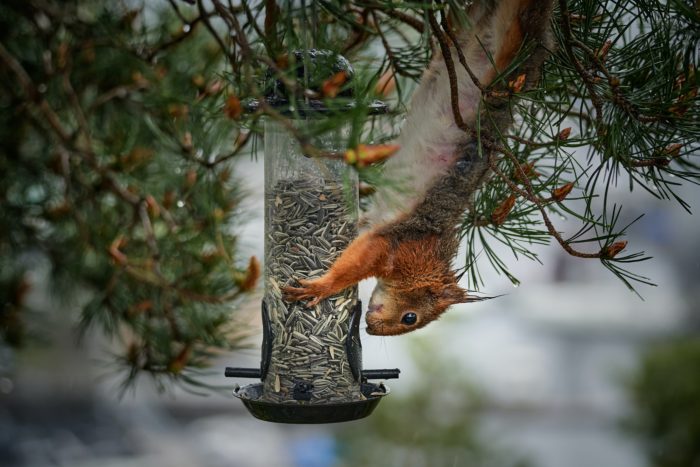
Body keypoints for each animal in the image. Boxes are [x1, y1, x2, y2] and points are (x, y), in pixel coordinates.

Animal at [284, 0, 552, 336]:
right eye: (410, 317)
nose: (371, 330)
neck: (428, 262)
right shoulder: (400, 246)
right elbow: (359, 259)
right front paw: (324, 286)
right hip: (507, 48)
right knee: (515, 26)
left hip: (471, 28)